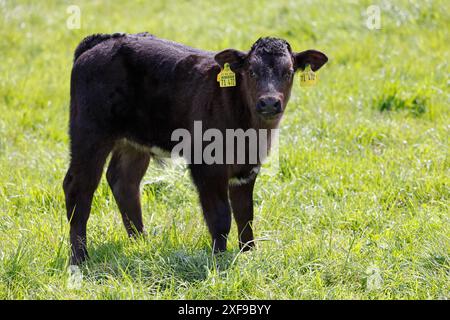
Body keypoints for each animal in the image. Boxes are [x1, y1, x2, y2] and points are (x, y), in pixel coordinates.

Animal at [63, 32, 326, 264]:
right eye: (251, 71)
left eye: (288, 72)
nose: (269, 102)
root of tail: (101, 41)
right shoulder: (206, 164)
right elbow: (220, 215)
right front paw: (219, 258)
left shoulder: (248, 167)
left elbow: (245, 213)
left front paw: (249, 253)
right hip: (89, 132)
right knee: (78, 187)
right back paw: (80, 257)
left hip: (133, 141)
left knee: (123, 181)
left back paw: (141, 243)